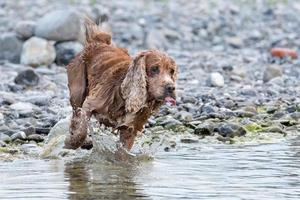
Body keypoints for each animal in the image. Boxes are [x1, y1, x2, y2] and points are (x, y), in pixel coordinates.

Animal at [64, 19, 177, 152]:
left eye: (171, 71)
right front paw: (71, 142)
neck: (125, 96)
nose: (171, 88)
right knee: (76, 114)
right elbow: (82, 128)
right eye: (154, 69)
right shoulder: (89, 104)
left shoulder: (129, 129)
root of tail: (98, 42)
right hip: (77, 92)